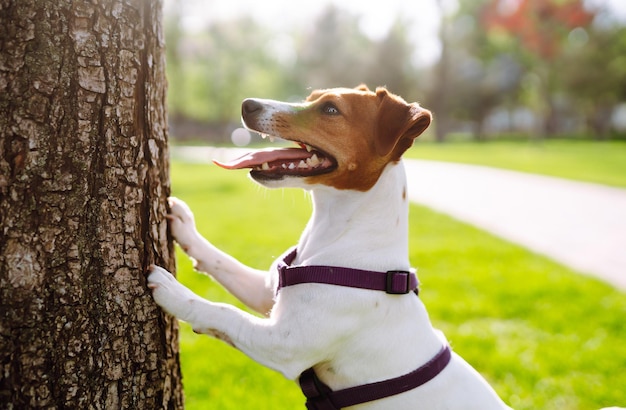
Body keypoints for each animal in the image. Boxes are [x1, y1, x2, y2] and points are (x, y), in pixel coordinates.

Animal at [149, 85, 510, 408]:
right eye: (310, 98)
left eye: (331, 109)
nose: (247, 104)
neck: (338, 236)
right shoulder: (268, 292)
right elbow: (223, 262)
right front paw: (184, 226)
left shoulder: (283, 344)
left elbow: (223, 313)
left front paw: (173, 292)